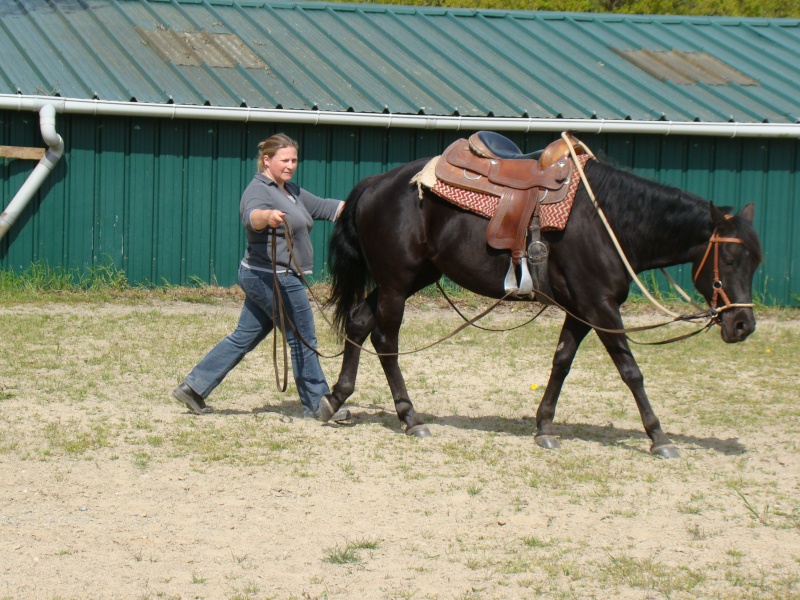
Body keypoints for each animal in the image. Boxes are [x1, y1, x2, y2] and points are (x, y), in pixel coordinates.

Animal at [318, 139, 764, 460]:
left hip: (410, 278)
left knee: (358, 321)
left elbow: (561, 363)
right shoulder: (601, 306)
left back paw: (335, 398)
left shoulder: (583, 311)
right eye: (729, 258)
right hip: (397, 283)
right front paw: (659, 436)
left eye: (756, 261)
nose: (743, 325)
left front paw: (545, 427)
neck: (609, 220)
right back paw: (410, 416)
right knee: (386, 341)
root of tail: (375, 184)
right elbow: (631, 371)